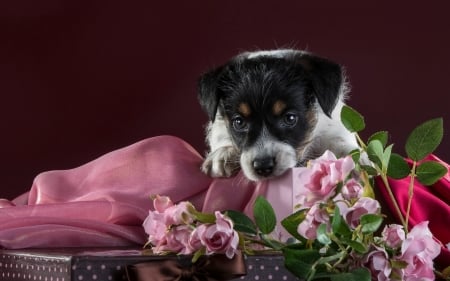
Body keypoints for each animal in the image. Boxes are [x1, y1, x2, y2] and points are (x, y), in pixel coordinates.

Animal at [197, 49, 358, 182]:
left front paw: (357, 161)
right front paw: (222, 153)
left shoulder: (334, 128)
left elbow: (341, 144)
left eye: (290, 118)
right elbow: (222, 135)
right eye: (239, 122)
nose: (263, 166)